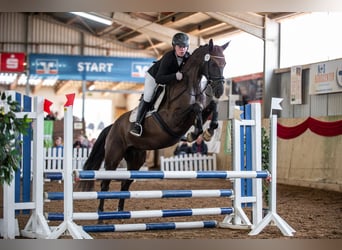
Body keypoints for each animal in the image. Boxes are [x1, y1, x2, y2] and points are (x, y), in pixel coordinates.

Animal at [79, 39, 230, 215]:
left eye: (224, 63)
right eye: (212, 63)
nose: (219, 90)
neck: (190, 86)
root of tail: (113, 126)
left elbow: (212, 106)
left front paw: (208, 131)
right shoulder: (173, 119)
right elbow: (196, 108)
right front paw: (195, 134)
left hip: (136, 158)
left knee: (125, 184)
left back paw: (121, 213)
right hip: (113, 156)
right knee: (105, 183)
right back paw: (102, 213)